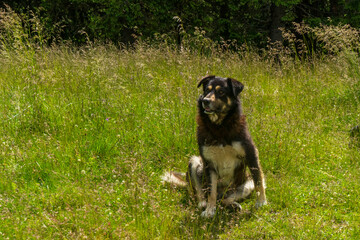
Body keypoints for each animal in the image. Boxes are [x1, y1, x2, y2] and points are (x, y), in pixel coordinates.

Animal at [162, 75, 266, 218]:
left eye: (221, 92)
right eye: (207, 90)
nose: (205, 101)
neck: (219, 126)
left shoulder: (251, 154)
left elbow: (258, 181)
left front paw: (261, 202)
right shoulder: (209, 163)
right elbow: (211, 191)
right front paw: (210, 211)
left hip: (245, 184)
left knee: (225, 199)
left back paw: (233, 205)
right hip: (195, 162)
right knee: (202, 195)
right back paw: (204, 204)